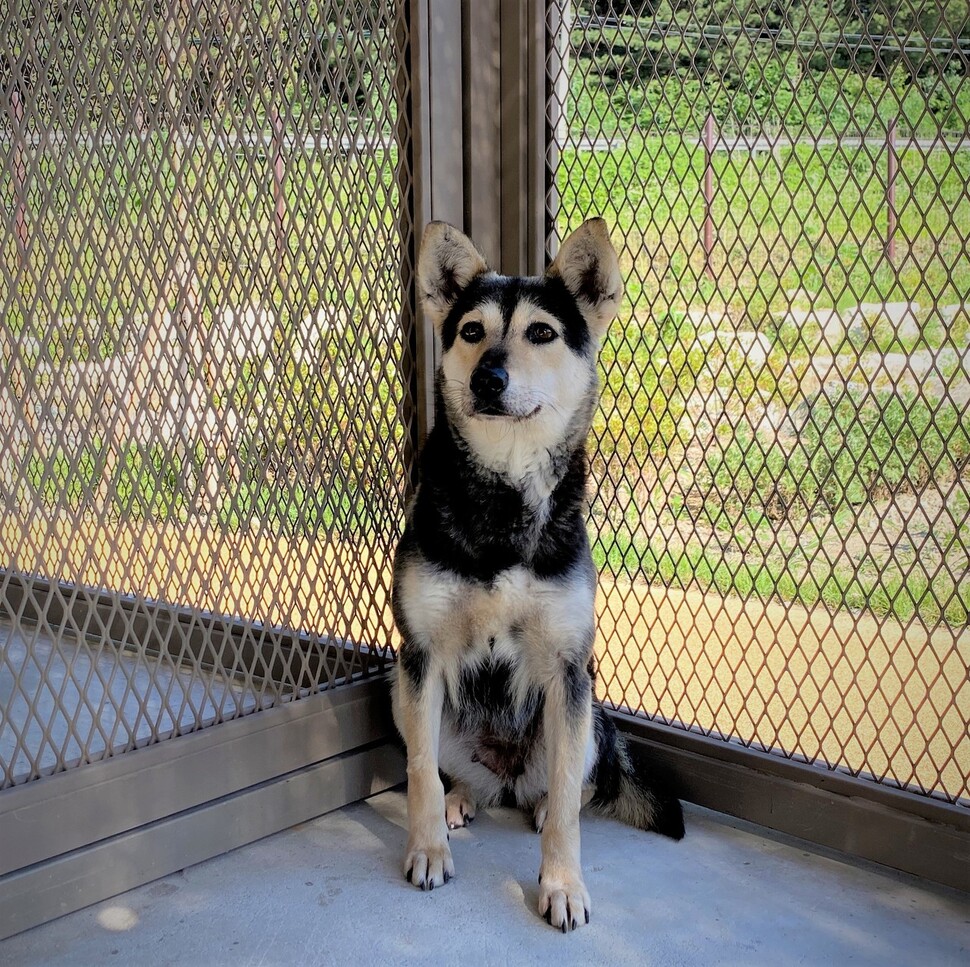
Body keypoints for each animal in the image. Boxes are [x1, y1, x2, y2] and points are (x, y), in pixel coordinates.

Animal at [390, 217, 684, 932]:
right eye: (472, 331)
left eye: (542, 334)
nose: (489, 379)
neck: (505, 498)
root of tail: (506, 779)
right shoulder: (419, 655)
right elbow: (417, 774)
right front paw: (427, 850)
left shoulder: (568, 666)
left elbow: (571, 821)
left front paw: (562, 885)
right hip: (400, 690)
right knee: (448, 771)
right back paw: (460, 799)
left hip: (588, 717)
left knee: (566, 787)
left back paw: (548, 801)